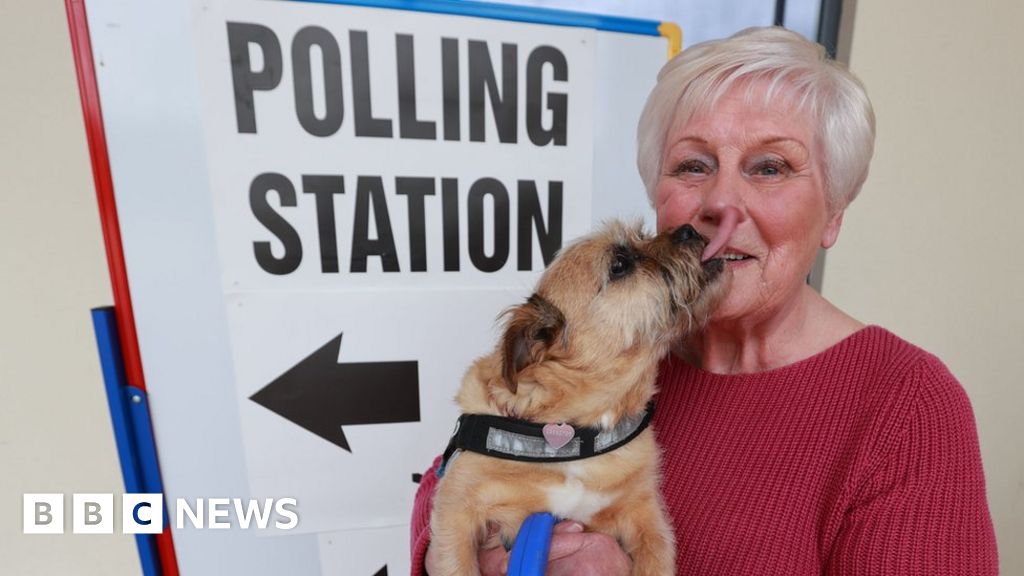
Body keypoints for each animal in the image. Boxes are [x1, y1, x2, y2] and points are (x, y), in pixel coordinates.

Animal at [428, 217, 724, 569]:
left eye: (642, 234)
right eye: (619, 265)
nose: (689, 229)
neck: (573, 434)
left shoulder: (647, 516)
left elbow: (656, 560)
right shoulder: (455, 512)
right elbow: (458, 565)